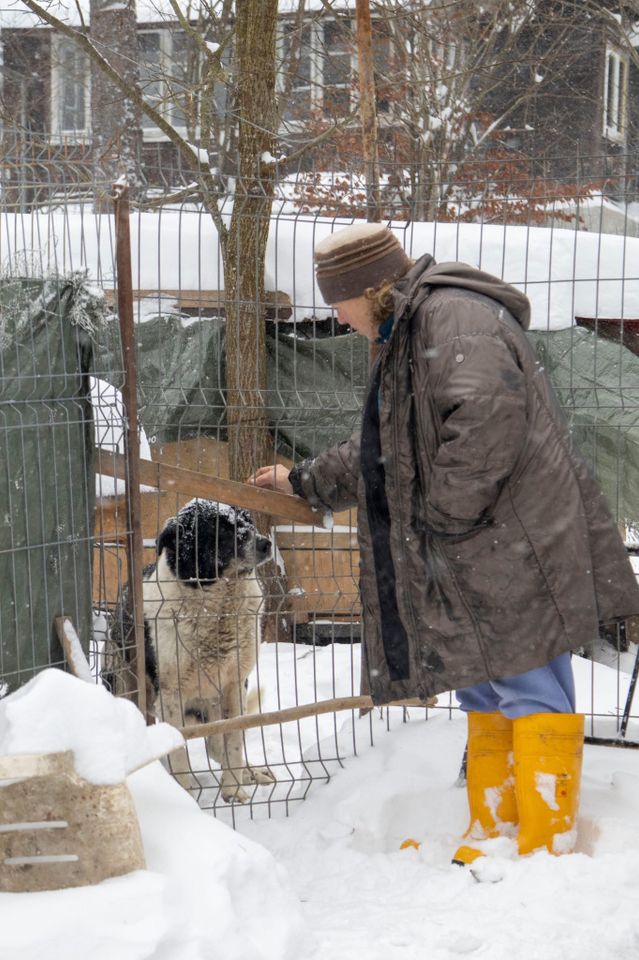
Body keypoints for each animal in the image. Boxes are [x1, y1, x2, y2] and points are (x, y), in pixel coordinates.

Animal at [105, 496, 276, 804]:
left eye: (248, 521)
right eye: (221, 529)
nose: (266, 544)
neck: (217, 607)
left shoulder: (235, 684)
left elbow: (233, 741)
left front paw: (234, 790)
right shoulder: (170, 694)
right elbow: (178, 753)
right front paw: (184, 797)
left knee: (217, 746)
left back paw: (251, 772)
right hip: (124, 683)